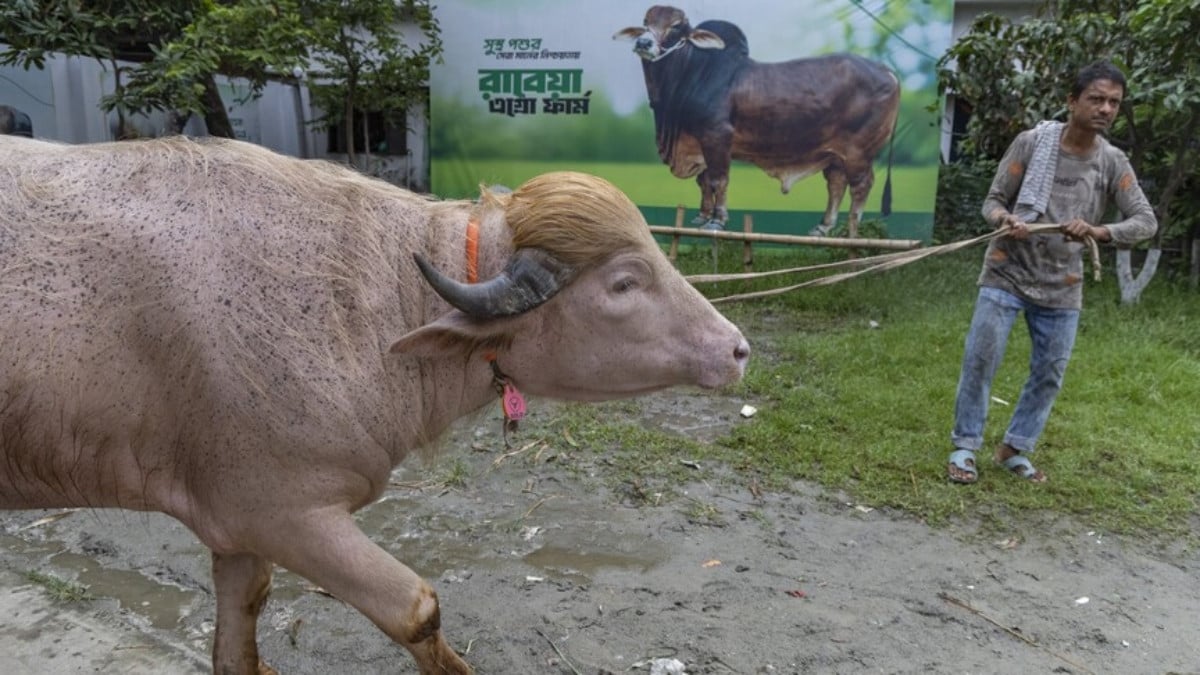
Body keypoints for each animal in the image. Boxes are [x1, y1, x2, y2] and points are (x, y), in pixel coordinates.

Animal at [0, 135, 749, 674]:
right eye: (624, 282)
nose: (738, 348)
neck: (365, 304)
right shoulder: (284, 512)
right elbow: (416, 608)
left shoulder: (233, 521)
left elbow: (245, 616)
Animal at [616, 5, 900, 237]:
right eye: (645, 21)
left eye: (676, 26)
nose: (643, 43)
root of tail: (886, 70)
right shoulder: (700, 142)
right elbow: (704, 181)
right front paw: (702, 217)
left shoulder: (717, 136)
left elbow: (719, 179)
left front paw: (717, 221)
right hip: (836, 155)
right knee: (836, 184)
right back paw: (823, 226)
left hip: (859, 151)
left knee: (861, 186)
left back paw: (852, 231)